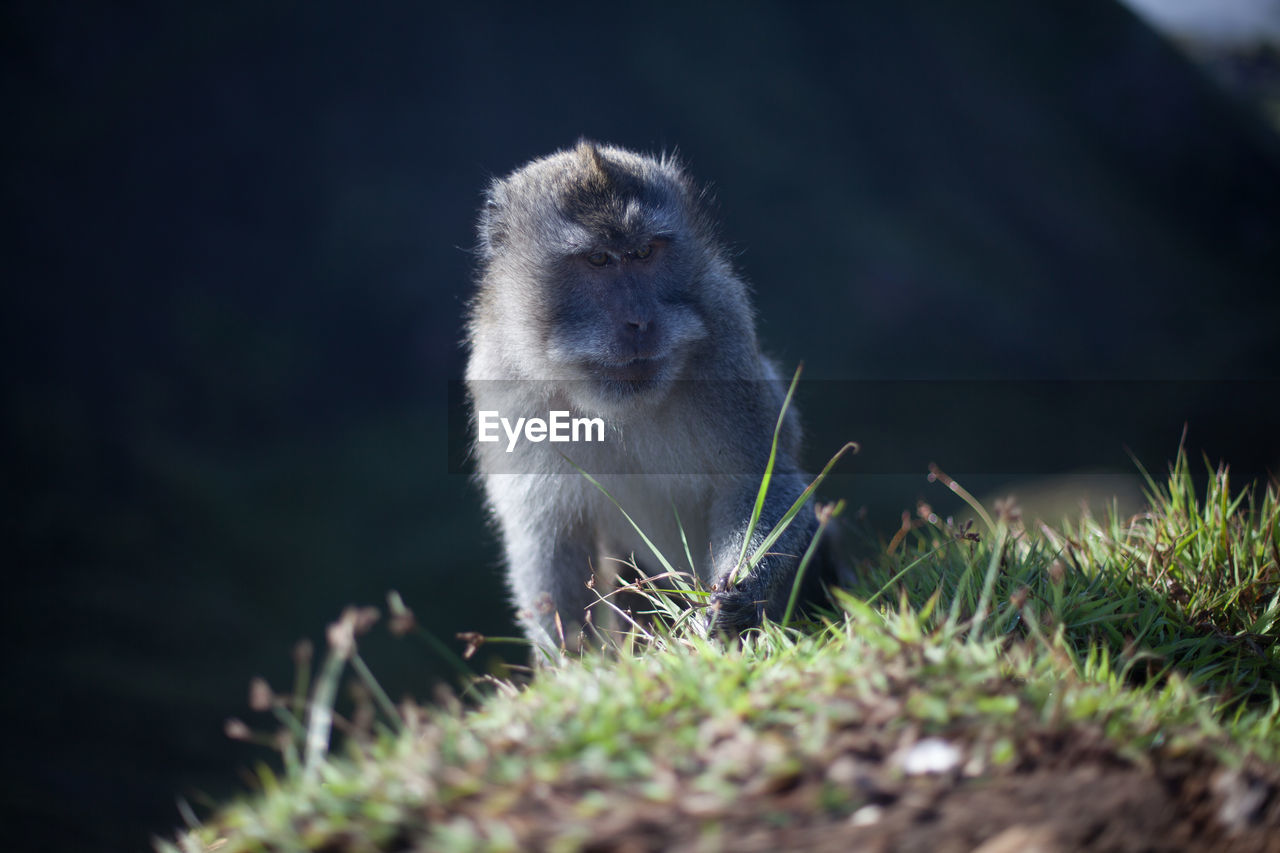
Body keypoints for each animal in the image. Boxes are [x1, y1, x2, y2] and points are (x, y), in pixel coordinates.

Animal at [465, 139, 834, 650]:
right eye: (599, 260)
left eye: (643, 252)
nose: (639, 321)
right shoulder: (500, 378)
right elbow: (546, 536)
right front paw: (570, 660)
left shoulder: (725, 331)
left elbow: (759, 478)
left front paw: (737, 596)